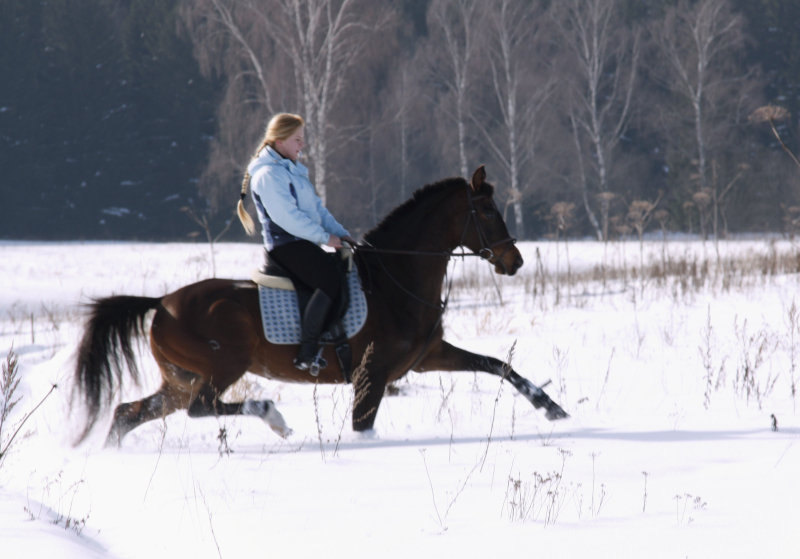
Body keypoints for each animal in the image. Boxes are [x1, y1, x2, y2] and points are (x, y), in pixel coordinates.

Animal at [72, 165, 564, 446]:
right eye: (487, 212)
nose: (514, 261)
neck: (396, 281)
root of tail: (162, 303)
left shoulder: (427, 358)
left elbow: (498, 365)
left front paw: (552, 408)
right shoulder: (373, 372)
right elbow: (364, 424)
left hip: (179, 379)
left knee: (128, 413)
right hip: (221, 366)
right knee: (201, 406)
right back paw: (274, 418)